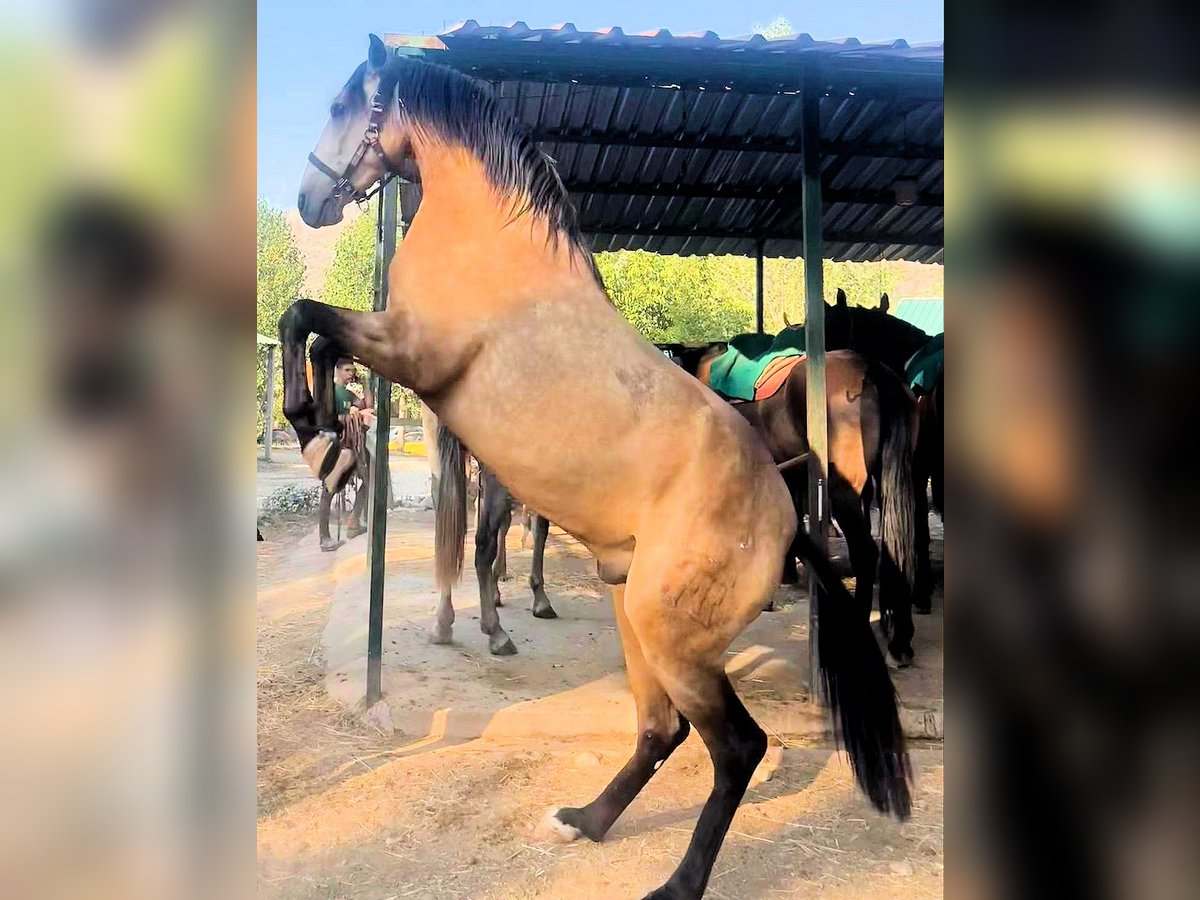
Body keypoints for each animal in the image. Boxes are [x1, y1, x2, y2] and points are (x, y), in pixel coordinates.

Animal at [421, 403, 557, 655]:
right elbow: (539, 528)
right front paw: (540, 599)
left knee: (447, 538)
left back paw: (442, 625)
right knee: (484, 543)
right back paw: (496, 633)